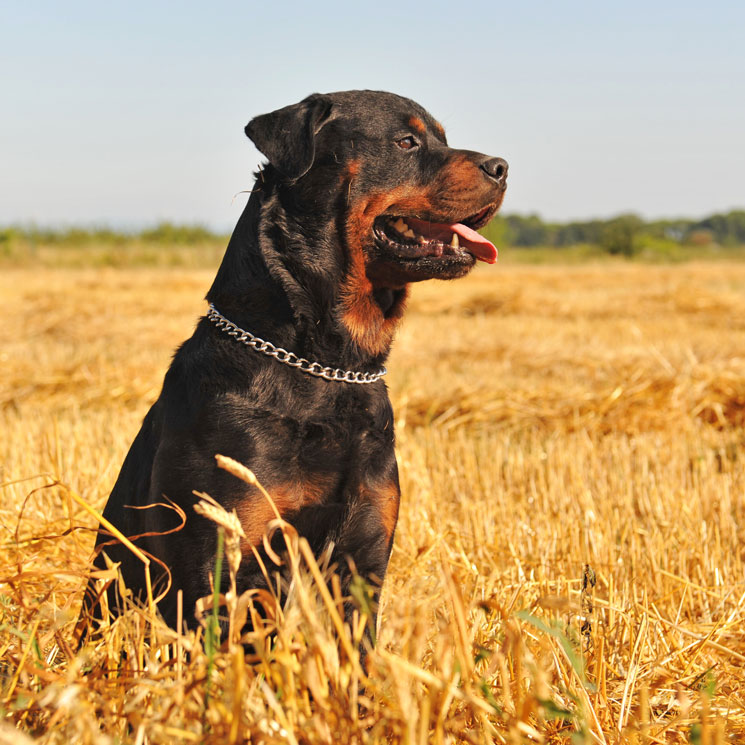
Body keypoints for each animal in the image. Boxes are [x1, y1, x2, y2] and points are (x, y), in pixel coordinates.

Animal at [84, 90, 508, 640]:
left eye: (442, 138)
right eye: (406, 142)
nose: (502, 167)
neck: (327, 364)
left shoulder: (363, 557)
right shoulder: (221, 561)